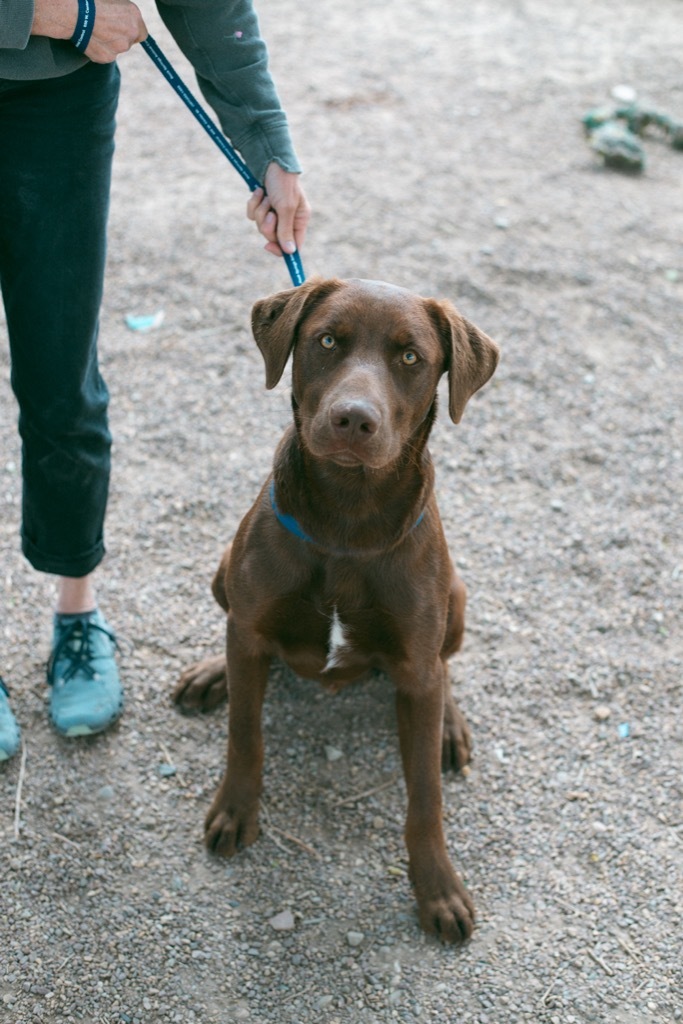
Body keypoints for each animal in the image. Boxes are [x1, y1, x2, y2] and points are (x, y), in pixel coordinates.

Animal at [174, 278, 499, 942]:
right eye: (327, 341)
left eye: (411, 357)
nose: (354, 418)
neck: (349, 522)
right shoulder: (251, 627)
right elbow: (245, 735)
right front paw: (235, 810)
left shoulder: (417, 659)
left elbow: (425, 797)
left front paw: (438, 890)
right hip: (224, 573)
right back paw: (212, 673)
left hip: (455, 599)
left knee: (443, 668)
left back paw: (448, 725)